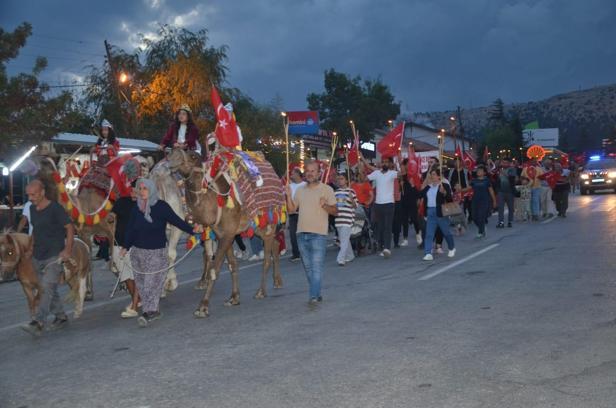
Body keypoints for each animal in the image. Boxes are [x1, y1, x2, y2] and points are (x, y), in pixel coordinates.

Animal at [166, 147, 286, 318]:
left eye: (193, 155)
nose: (172, 154)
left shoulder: (228, 234)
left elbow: (214, 269)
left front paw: (202, 307)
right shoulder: (224, 234)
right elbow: (232, 265)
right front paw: (234, 298)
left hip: (268, 220)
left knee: (267, 258)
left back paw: (261, 291)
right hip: (258, 226)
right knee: (275, 243)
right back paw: (277, 281)